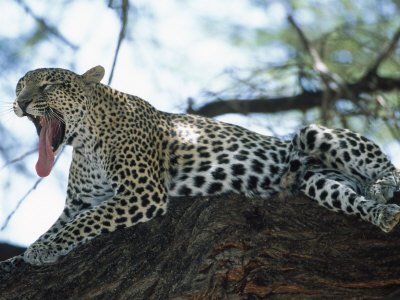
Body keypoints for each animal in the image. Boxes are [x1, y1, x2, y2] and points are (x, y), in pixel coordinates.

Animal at [0, 66, 400, 272]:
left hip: (312, 133)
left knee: (387, 166)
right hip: (318, 181)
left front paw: (43, 250)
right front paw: (20, 256)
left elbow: (87, 222)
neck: (84, 142)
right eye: (20, 85)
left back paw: (382, 186)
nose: (20, 102)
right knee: (349, 197)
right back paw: (381, 213)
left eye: (47, 84)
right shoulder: (79, 203)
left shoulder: (142, 193)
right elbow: (59, 225)